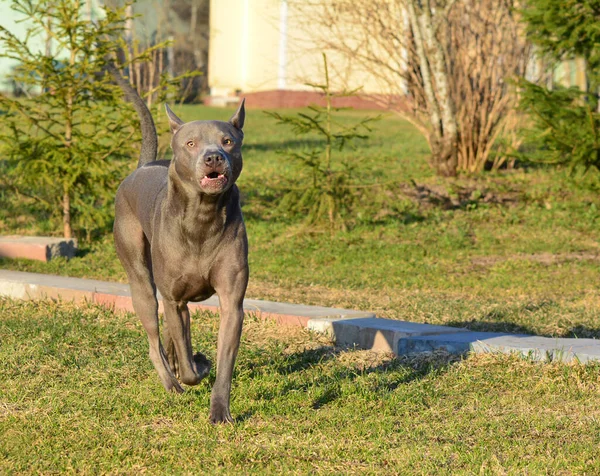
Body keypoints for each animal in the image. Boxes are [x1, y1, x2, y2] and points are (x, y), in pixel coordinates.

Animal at [109, 64, 247, 424]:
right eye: (191, 143)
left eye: (228, 141)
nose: (214, 157)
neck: (203, 216)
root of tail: (143, 166)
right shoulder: (174, 299)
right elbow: (189, 366)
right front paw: (194, 366)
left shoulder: (232, 302)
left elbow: (224, 363)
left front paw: (220, 411)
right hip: (141, 281)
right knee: (154, 337)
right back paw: (171, 383)